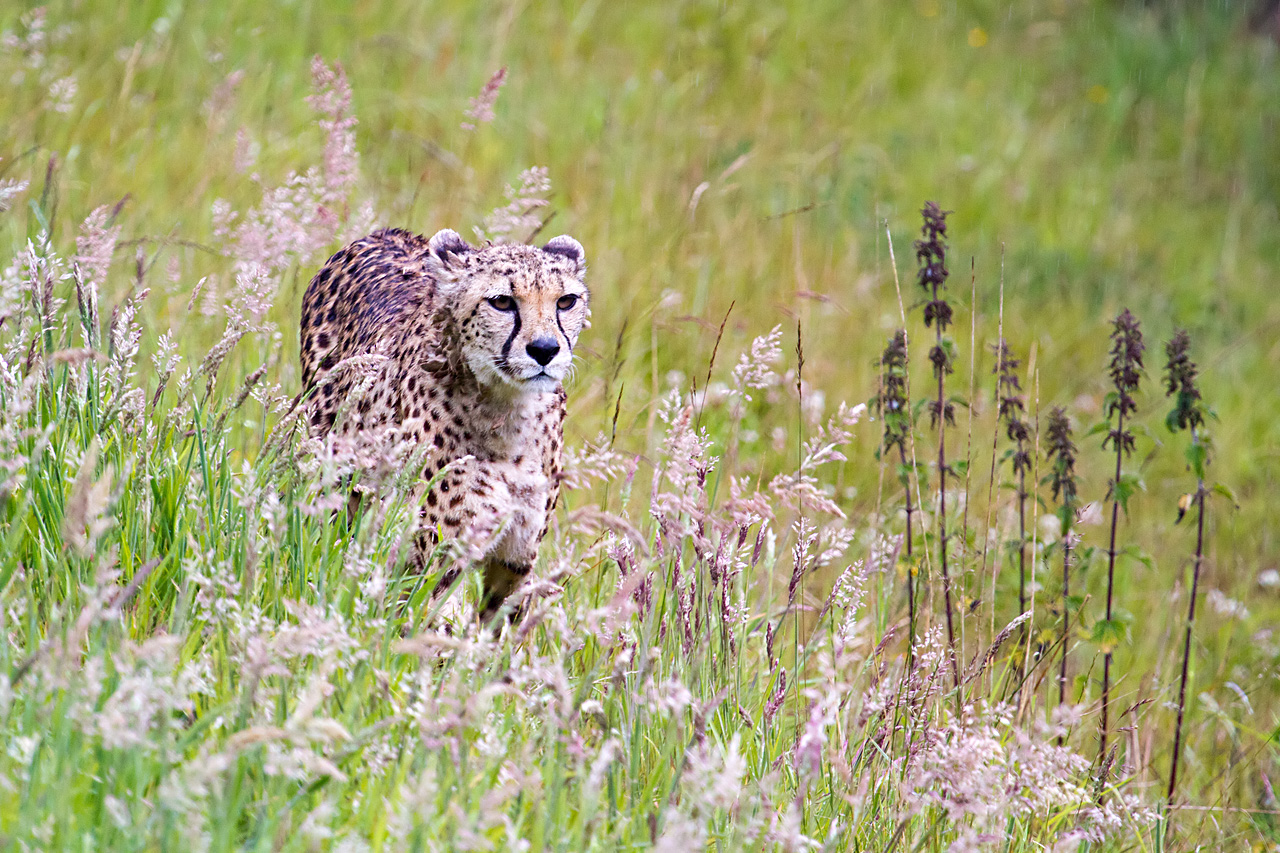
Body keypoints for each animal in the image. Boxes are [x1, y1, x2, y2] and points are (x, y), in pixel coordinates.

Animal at [302, 225, 591, 617]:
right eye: (502, 302)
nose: (545, 349)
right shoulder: (437, 559)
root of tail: (385, 233)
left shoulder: (516, 562)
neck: (509, 412)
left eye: (565, 301)